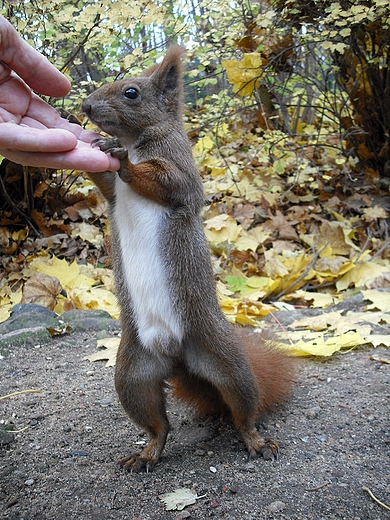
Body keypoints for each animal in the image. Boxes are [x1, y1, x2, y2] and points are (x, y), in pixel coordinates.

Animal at [83, 46, 296, 474]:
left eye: (131, 93)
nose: (85, 106)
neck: (137, 141)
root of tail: (177, 357)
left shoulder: (180, 169)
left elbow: (166, 182)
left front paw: (125, 161)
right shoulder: (112, 193)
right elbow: (107, 185)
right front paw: (92, 145)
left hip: (224, 359)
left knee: (243, 410)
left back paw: (256, 440)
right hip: (132, 373)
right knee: (158, 425)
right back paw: (146, 452)